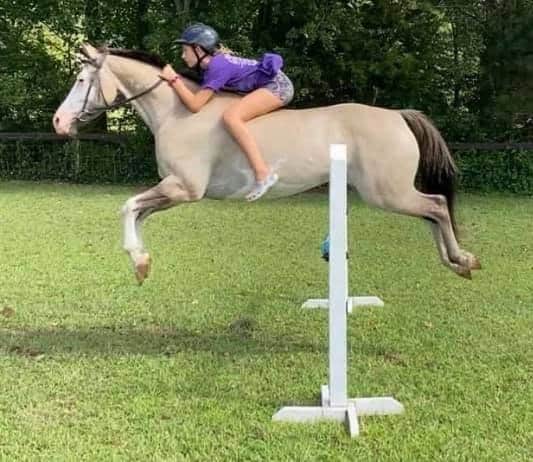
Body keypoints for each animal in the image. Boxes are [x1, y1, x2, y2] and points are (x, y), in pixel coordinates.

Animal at [53, 44, 480, 284]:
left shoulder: (183, 188)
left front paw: (138, 262)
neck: (177, 112)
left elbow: (127, 207)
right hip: (389, 192)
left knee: (436, 206)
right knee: (432, 211)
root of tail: (398, 115)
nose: (58, 122)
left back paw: (461, 260)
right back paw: (456, 262)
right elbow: (137, 213)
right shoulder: (172, 191)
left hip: (387, 193)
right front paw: (141, 262)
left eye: (80, 80)